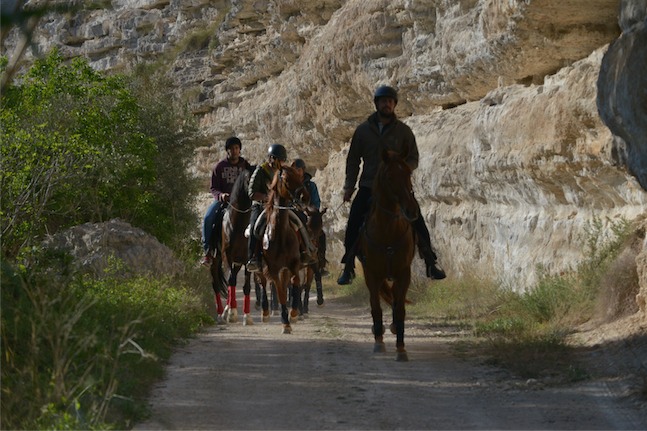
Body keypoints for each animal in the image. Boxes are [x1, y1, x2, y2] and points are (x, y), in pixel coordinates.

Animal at [260, 165, 310, 334]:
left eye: (300, 177)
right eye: (287, 179)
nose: (304, 197)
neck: (280, 234)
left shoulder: (293, 264)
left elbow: (295, 283)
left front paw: (294, 313)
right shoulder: (273, 269)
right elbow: (280, 292)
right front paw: (285, 322)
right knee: (263, 283)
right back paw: (265, 312)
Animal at [356, 148, 418, 362]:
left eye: (408, 173)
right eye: (389, 177)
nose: (411, 210)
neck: (387, 232)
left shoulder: (404, 273)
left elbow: (399, 310)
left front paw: (401, 349)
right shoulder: (372, 274)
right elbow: (375, 307)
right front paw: (378, 342)